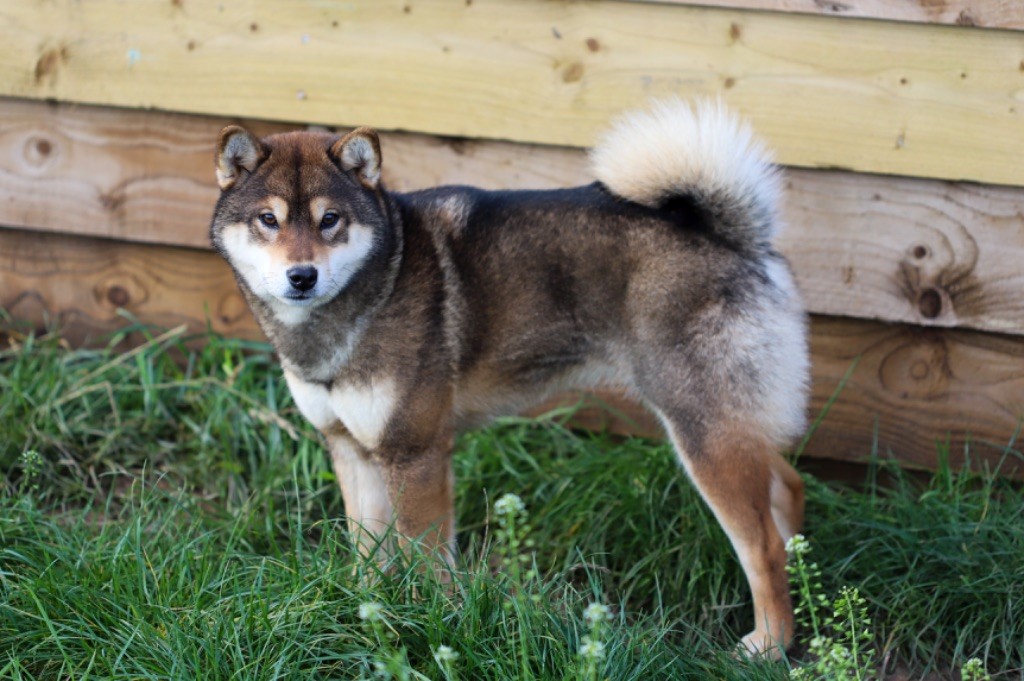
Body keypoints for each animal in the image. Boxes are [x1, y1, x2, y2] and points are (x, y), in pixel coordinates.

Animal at [209, 100, 809, 656]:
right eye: (268, 220)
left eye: (330, 219)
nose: (302, 276)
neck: (377, 284)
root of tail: (733, 236)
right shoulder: (351, 447)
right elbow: (368, 552)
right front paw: (367, 613)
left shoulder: (415, 452)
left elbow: (424, 560)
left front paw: (429, 623)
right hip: (729, 426)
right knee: (787, 488)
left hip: (703, 431)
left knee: (762, 546)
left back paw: (770, 643)